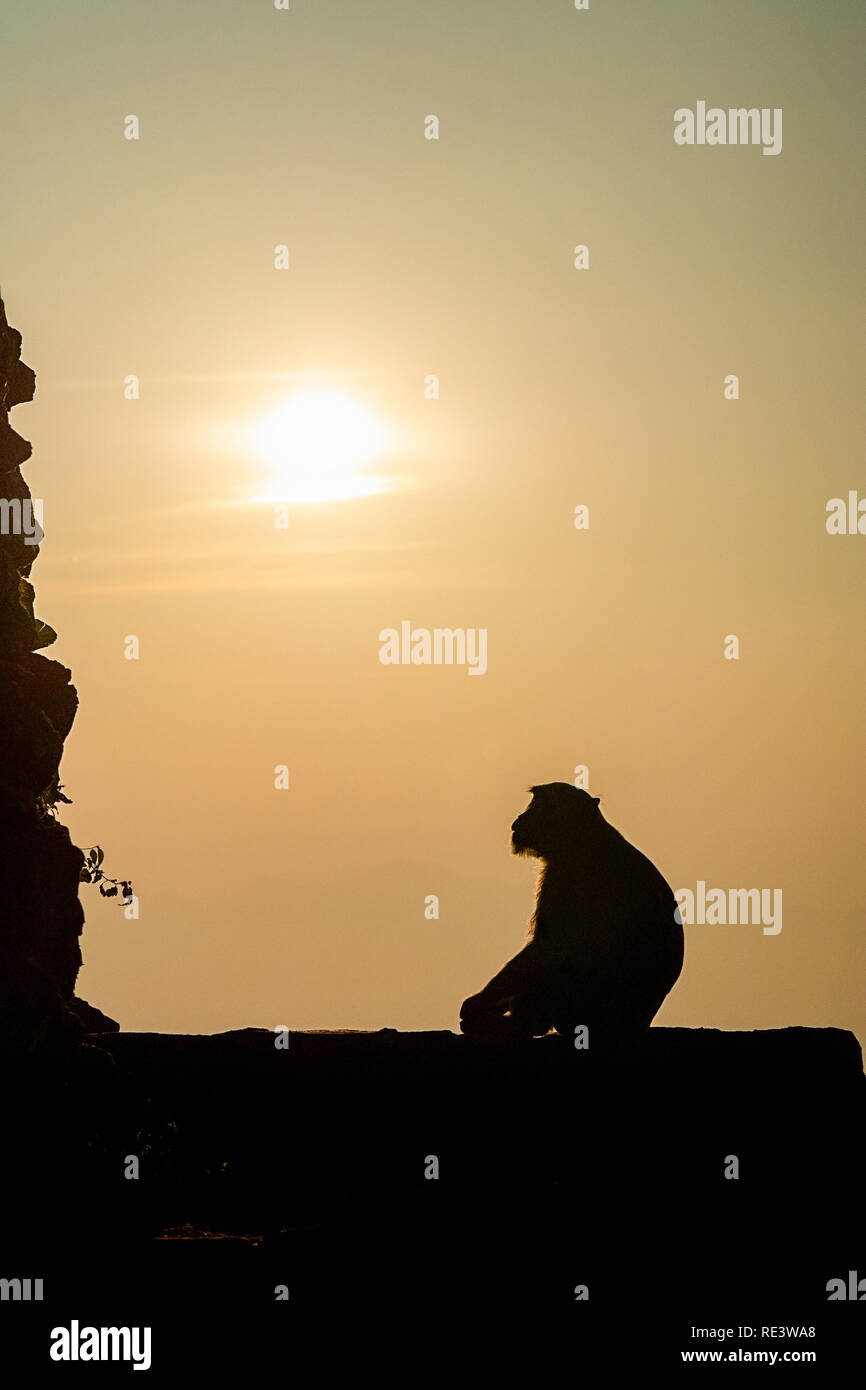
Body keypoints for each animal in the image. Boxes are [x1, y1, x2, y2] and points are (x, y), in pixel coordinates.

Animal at [461, 783, 683, 1045]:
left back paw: (517, 1026)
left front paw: (477, 1004)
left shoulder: (562, 873)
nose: (520, 818)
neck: (587, 836)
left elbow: (551, 947)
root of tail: (634, 1027)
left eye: (541, 805)